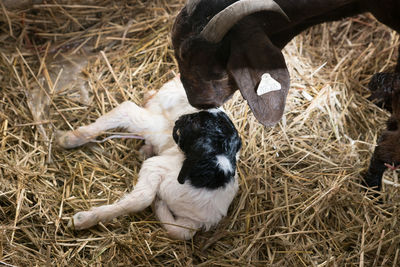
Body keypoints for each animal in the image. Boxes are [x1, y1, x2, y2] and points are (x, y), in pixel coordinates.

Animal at [57, 77, 241, 241]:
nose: (180, 121)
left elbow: (124, 110)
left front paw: (68, 139)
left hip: (158, 165)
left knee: (143, 200)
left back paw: (82, 219)